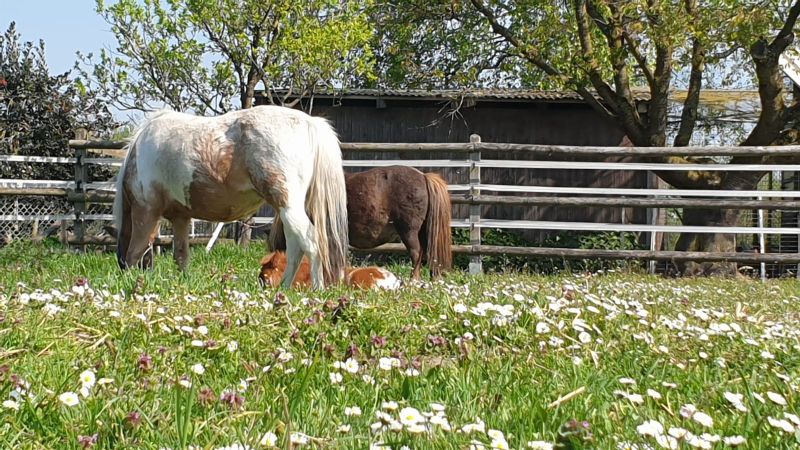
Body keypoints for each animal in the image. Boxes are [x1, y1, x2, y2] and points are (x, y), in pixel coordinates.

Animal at [112, 105, 346, 288]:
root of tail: (310, 122)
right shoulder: (181, 218)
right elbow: (181, 255)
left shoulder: (146, 212)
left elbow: (135, 251)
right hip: (288, 211)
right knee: (295, 249)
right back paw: (285, 289)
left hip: (288, 207)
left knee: (311, 243)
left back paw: (316, 289)